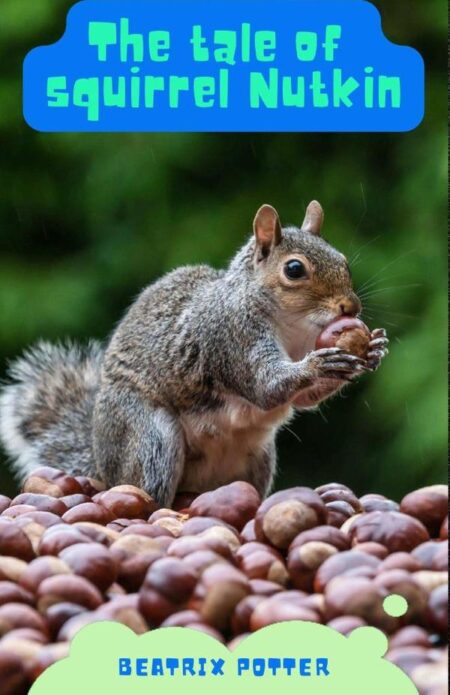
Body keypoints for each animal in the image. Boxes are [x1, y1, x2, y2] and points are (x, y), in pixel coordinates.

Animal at [0, 202, 388, 506]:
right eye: (294, 269)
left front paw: (370, 350)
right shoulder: (229, 337)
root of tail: (101, 463)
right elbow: (266, 386)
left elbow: (304, 399)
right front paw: (320, 363)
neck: (290, 325)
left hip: (258, 459)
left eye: (343, 261)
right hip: (150, 439)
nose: (351, 307)